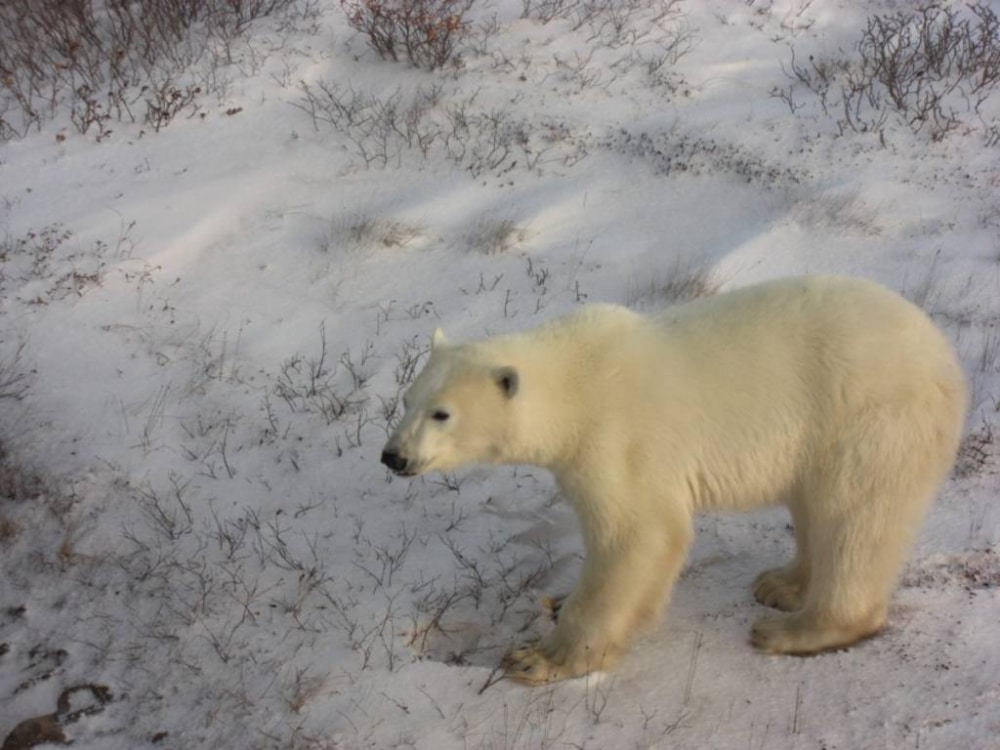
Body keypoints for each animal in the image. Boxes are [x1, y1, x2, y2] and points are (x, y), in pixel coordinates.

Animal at [378, 278, 964, 688]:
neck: (572, 381)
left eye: (442, 414)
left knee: (854, 518)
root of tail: (945, 358)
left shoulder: (615, 440)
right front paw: (557, 604)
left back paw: (793, 628)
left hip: (867, 419)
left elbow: (639, 535)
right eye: (408, 400)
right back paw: (780, 584)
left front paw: (539, 657)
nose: (392, 456)